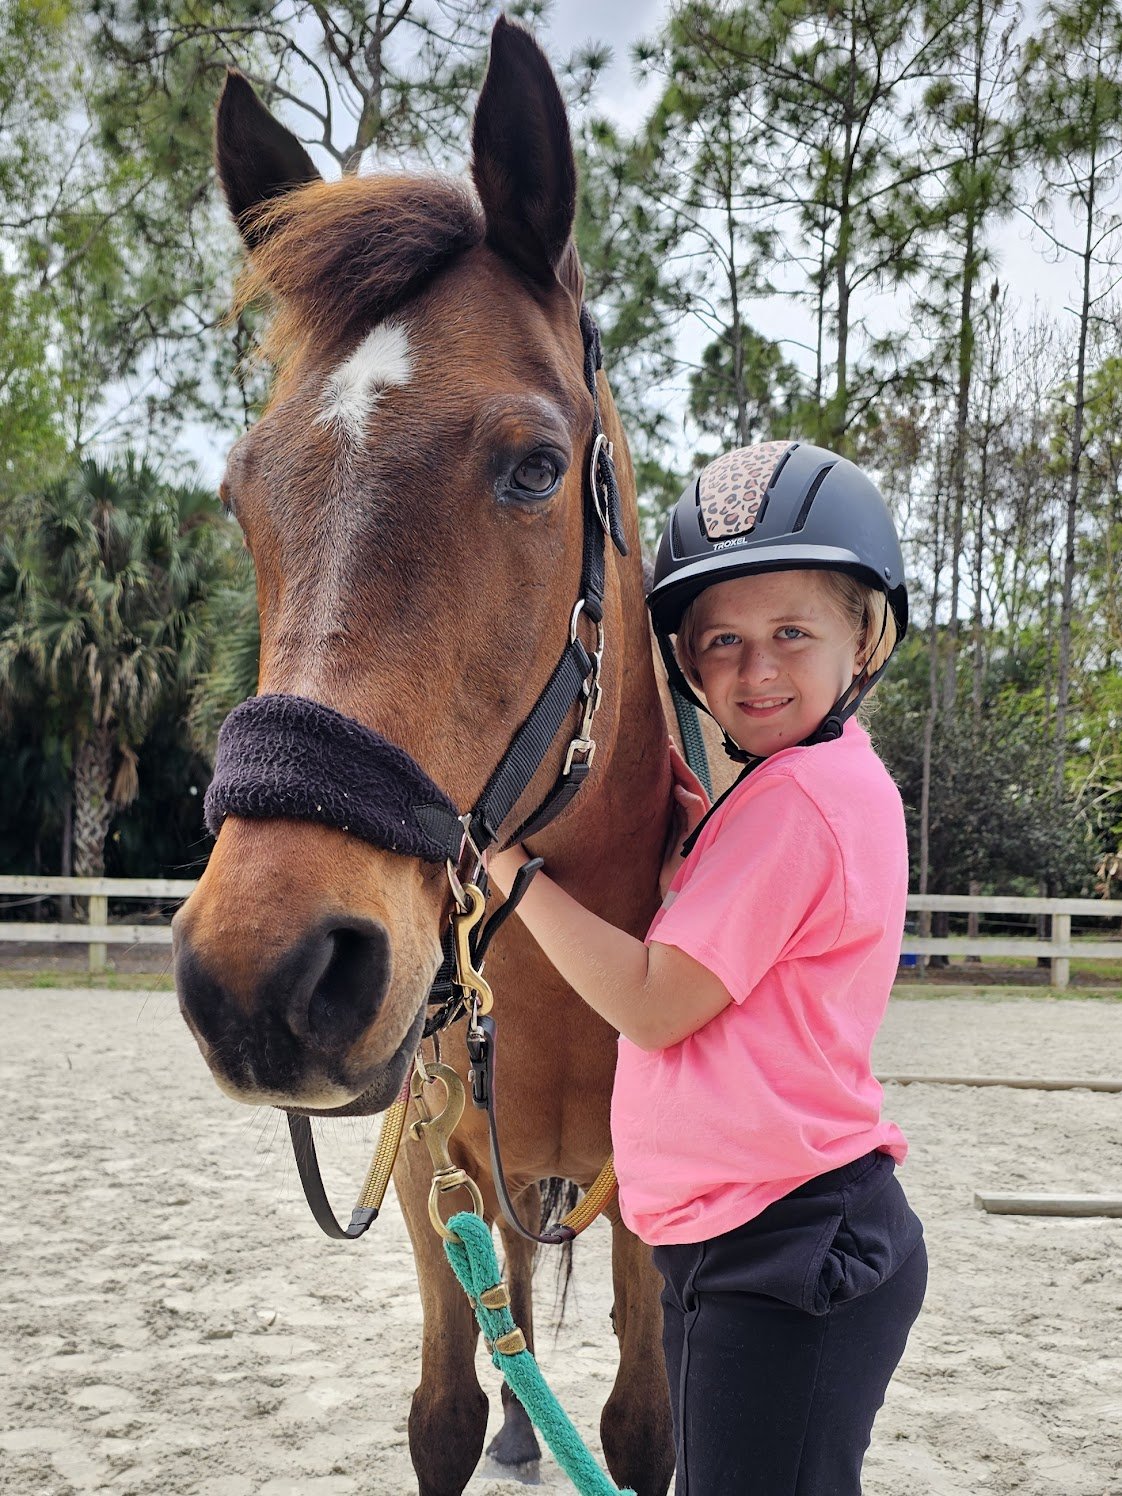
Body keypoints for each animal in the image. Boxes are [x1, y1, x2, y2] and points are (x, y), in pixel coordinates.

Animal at [174, 19, 714, 1496]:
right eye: (241, 494)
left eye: (535, 467)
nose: (263, 975)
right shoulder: (431, 1176)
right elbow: (444, 1412)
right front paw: (498, 1425)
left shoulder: (656, 1208)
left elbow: (645, 1429)